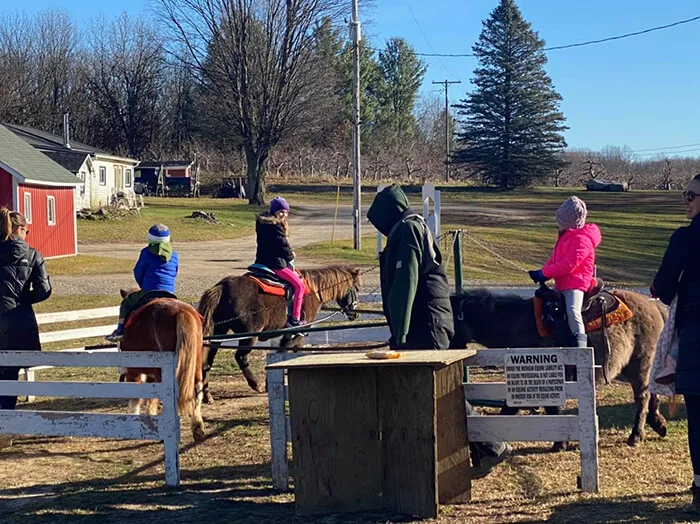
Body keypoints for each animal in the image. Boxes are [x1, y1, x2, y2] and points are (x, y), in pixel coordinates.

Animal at [119, 290, 206, 442]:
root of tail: (181, 311)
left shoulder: (135, 370)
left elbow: (137, 397)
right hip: (195, 364)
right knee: (196, 390)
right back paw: (197, 428)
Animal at [197, 266, 360, 398]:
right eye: (357, 288)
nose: (354, 314)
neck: (313, 290)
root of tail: (222, 287)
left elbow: (295, 351)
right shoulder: (295, 333)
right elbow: (282, 352)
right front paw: (268, 383)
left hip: (219, 332)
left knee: (208, 360)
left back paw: (206, 394)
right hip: (249, 334)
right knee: (241, 357)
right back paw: (255, 384)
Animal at [452, 288, 668, 448]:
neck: (515, 324)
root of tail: (654, 305)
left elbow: (542, 408)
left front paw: (559, 443)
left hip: (639, 364)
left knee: (642, 397)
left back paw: (636, 436)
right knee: (651, 393)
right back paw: (658, 424)